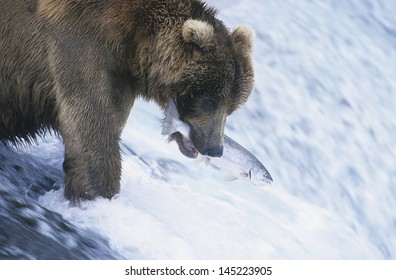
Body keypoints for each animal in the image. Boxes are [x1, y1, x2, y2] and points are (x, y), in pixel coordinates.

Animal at [0, 0, 254, 202]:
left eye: (232, 107)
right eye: (210, 100)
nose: (215, 148)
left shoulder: (122, 80)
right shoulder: (85, 49)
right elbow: (93, 134)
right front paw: (99, 195)